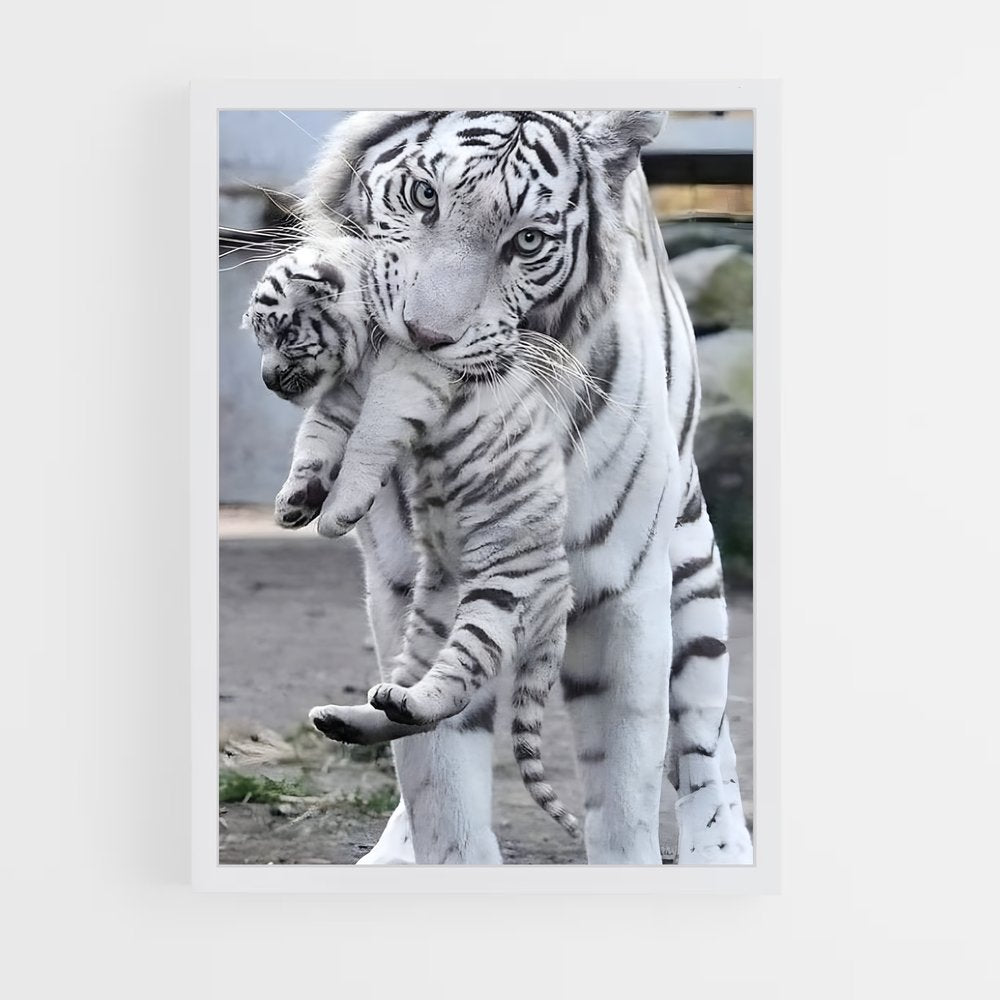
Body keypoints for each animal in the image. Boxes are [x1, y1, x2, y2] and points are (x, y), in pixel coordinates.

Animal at [243, 240, 579, 835]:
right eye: (259, 337)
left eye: (284, 333)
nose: (266, 380)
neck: (363, 354)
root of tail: (562, 603)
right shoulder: (341, 397)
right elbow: (315, 440)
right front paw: (294, 502)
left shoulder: (405, 381)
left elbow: (365, 443)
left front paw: (334, 514)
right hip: (433, 611)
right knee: (409, 696)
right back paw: (350, 717)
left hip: (500, 597)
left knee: (455, 683)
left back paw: (408, 703)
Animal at [279, 110, 752, 865]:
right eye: (423, 197)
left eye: (527, 240)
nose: (425, 333)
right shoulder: (401, 583)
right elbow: (439, 785)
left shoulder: (623, 593)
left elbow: (626, 788)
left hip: (691, 577)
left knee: (706, 736)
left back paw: (722, 846)